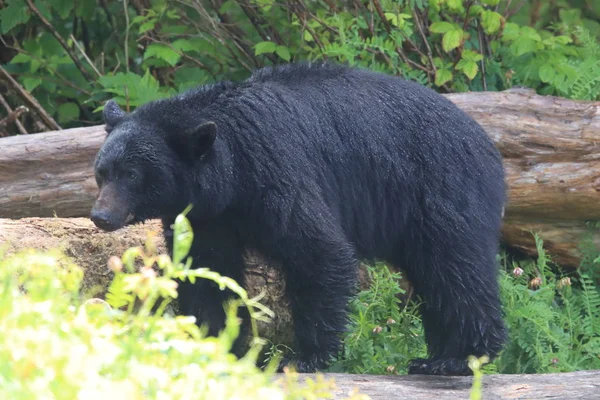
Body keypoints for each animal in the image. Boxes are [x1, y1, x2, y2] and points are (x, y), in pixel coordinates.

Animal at [91, 62, 508, 376]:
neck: (231, 170)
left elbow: (319, 250)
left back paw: (459, 358)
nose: (100, 216)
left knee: (453, 268)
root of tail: (488, 146)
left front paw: (301, 357)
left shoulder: (276, 170)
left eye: (132, 174)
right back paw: (437, 356)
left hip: (440, 188)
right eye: (102, 172)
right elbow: (207, 273)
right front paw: (215, 342)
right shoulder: (209, 216)